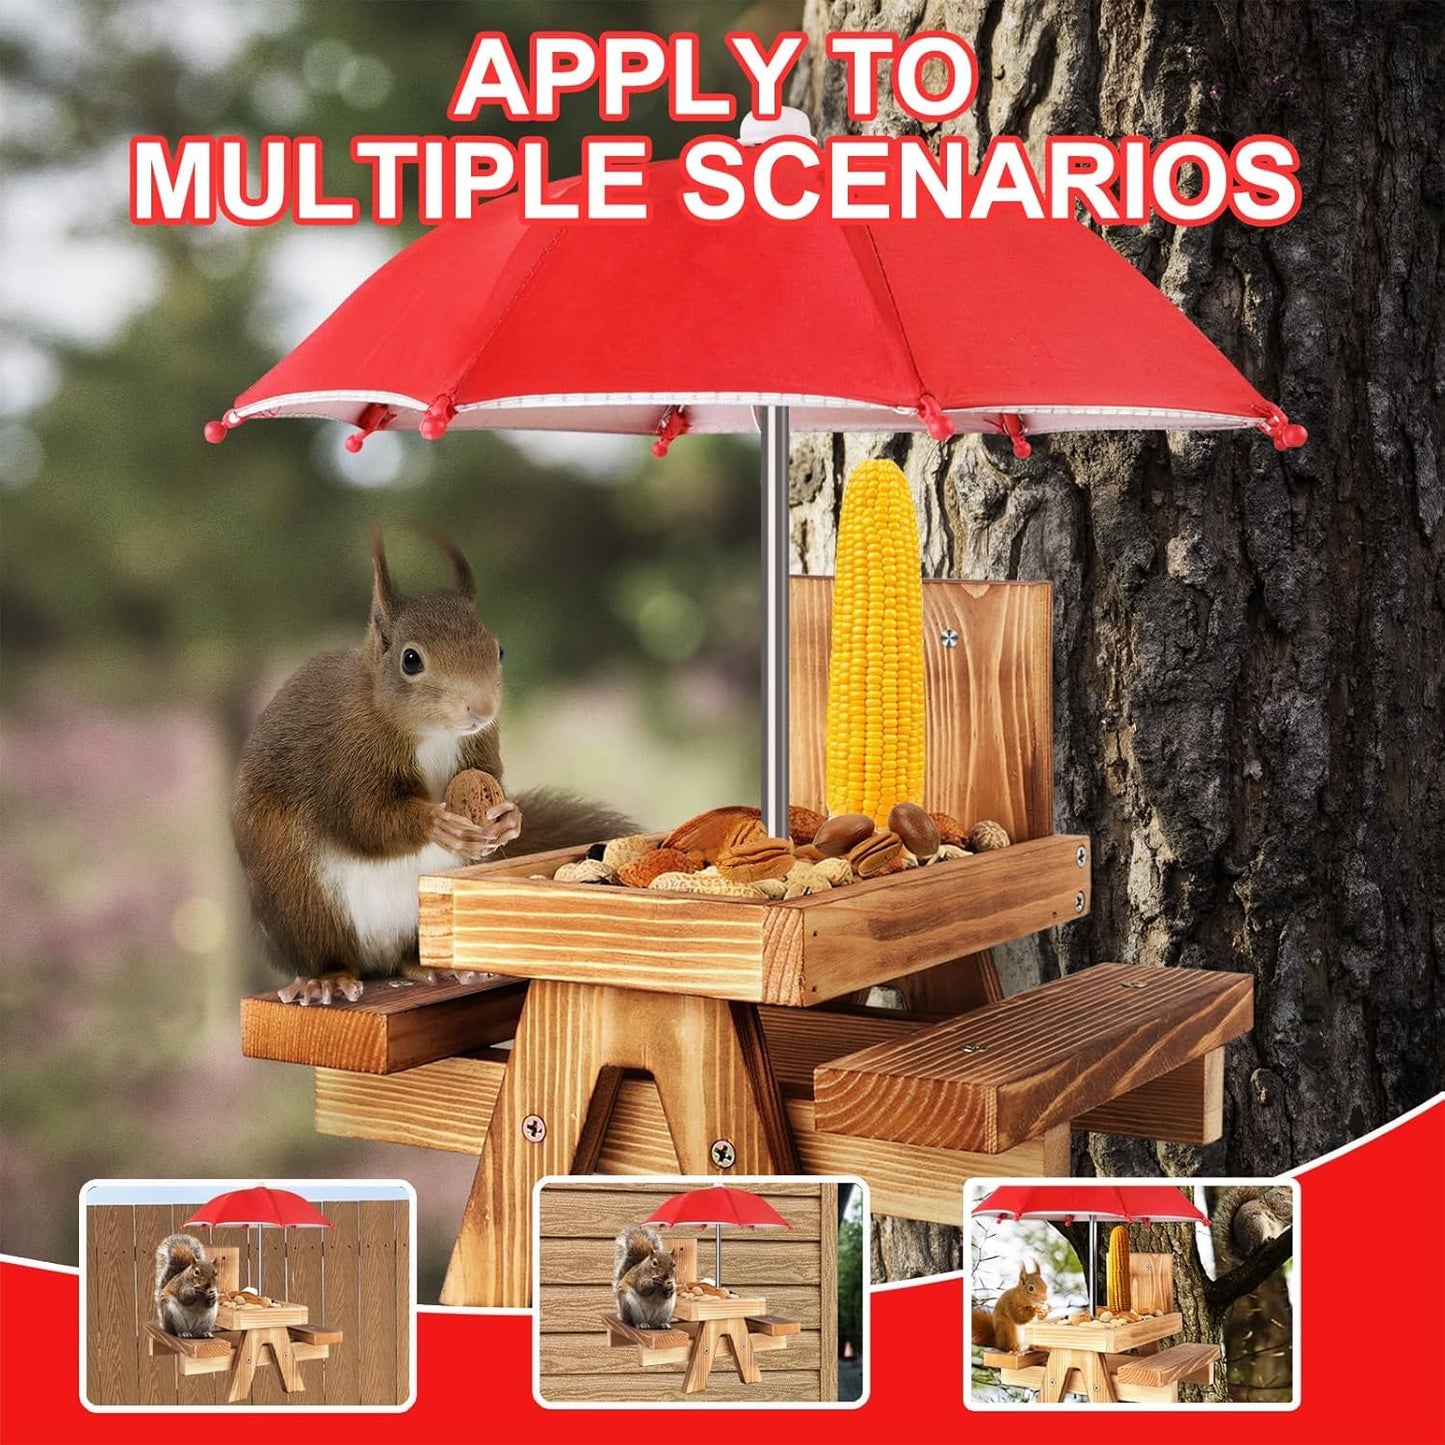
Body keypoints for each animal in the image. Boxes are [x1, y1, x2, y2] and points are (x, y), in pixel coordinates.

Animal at [232, 526, 636, 1005]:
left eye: (499, 649)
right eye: (411, 660)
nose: (482, 708)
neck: (433, 734)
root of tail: (376, 958)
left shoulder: (482, 744)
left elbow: (492, 779)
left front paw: (509, 818)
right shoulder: (342, 754)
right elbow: (362, 817)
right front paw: (435, 822)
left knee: (410, 955)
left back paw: (438, 968)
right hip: (299, 897)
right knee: (327, 949)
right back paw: (324, 979)